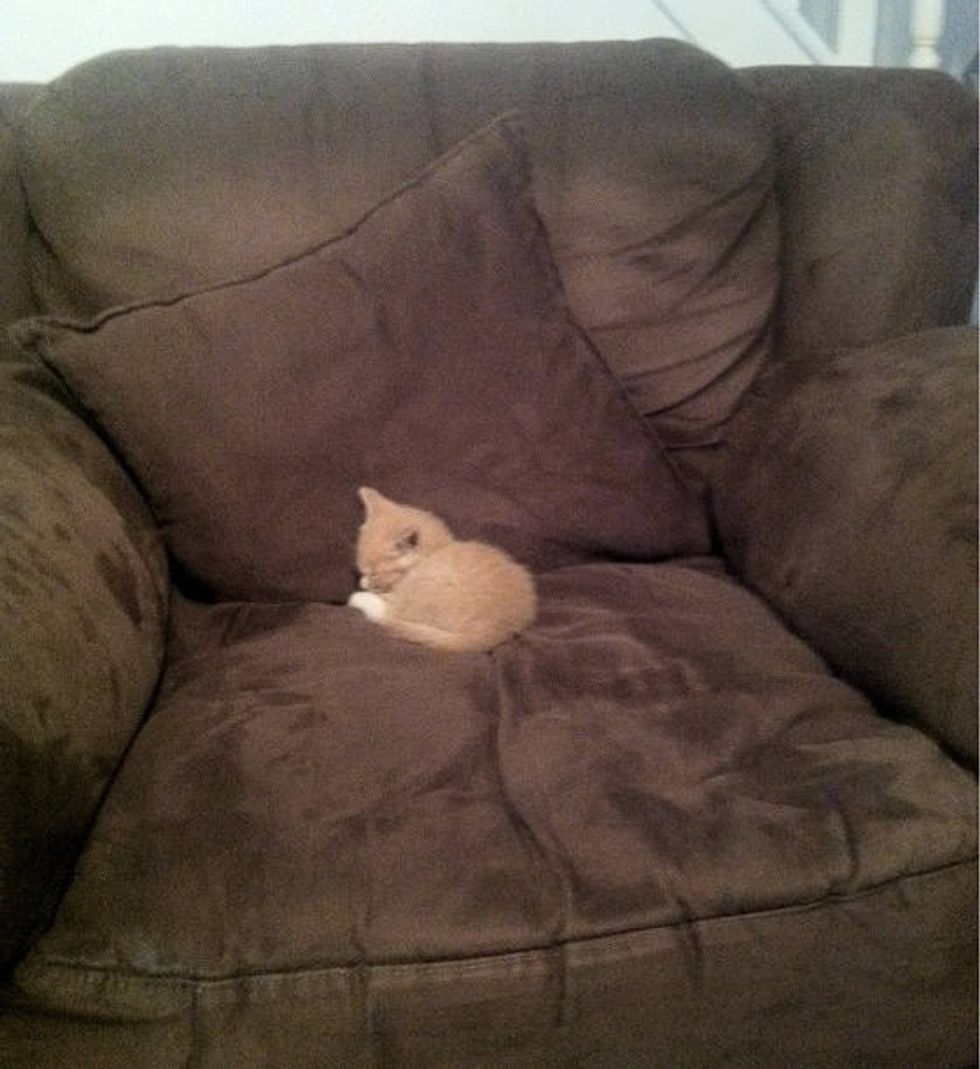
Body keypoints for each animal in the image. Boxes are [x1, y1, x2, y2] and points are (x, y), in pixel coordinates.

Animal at [348, 485, 538, 649]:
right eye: (361, 570)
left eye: (374, 574)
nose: (362, 583)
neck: (438, 549)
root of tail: (494, 632)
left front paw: (366, 592)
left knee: (390, 615)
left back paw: (360, 598)